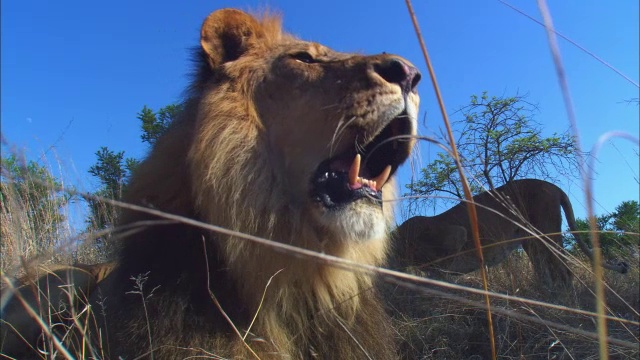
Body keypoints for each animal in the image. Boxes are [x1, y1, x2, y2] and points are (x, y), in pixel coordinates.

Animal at [392, 179, 628, 288]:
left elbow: (441, 274)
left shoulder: (457, 234)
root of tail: (553, 186)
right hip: (531, 242)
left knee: (563, 270)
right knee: (545, 271)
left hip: (546, 231)